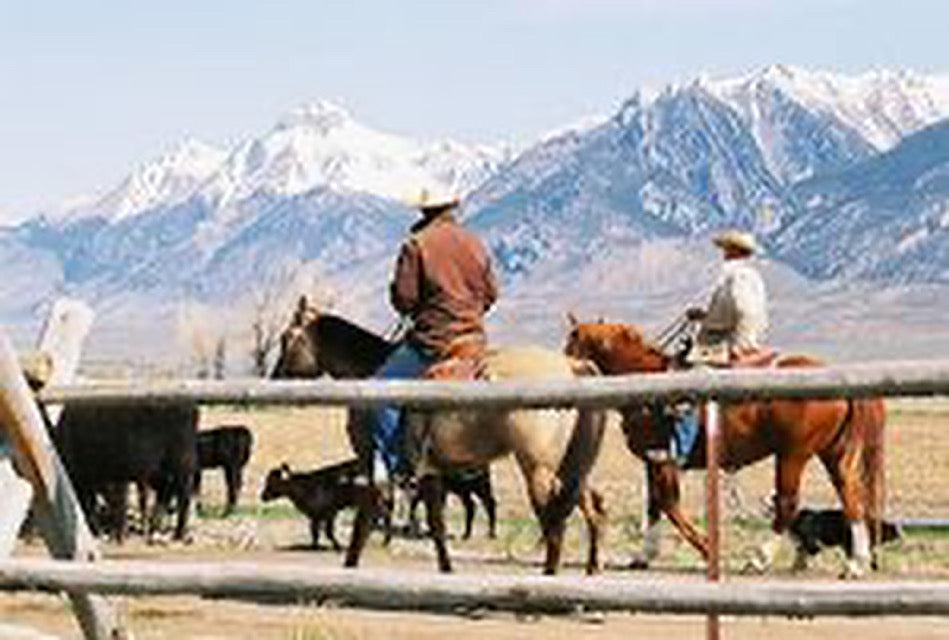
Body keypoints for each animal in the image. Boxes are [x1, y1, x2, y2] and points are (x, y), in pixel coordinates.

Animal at [54, 402, 199, 544]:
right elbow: (108, 503)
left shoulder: (113, 478)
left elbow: (115, 503)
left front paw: (118, 535)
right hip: (161, 472)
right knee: (165, 495)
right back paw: (154, 530)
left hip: (182, 465)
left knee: (183, 496)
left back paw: (178, 534)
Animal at [260, 460, 388, 552]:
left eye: (272, 482)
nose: (263, 496)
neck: (304, 487)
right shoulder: (316, 516)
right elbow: (315, 532)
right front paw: (314, 546)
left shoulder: (329, 513)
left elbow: (327, 532)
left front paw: (336, 547)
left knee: (383, 515)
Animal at [560, 318, 884, 576]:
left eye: (570, 345)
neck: (646, 380)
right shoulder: (653, 459)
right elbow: (654, 506)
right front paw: (644, 555)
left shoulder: (663, 458)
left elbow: (668, 504)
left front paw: (706, 549)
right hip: (832, 454)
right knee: (851, 496)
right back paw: (856, 563)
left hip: (793, 454)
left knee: (788, 504)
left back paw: (758, 558)